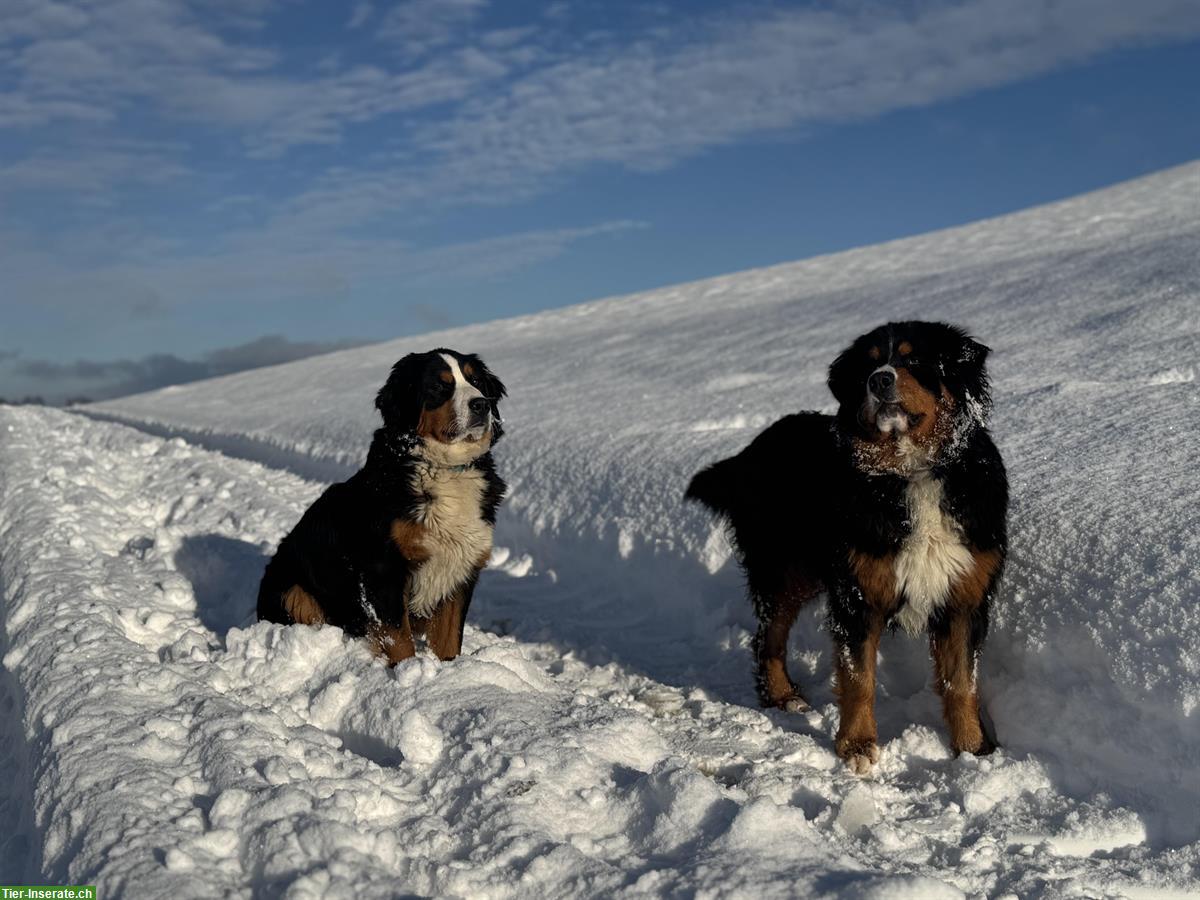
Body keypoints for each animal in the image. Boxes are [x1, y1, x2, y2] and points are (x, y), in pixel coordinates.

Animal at [258, 348, 506, 667]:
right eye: (440, 386)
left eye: (475, 381)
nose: (481, 405)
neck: (443, 468)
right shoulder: (383, 569)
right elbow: (398, 639)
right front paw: (407, 672)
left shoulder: (461, 568)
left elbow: (450, 640)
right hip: (293, 590)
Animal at [686, 324, 1003, 777]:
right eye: (867, 365)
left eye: (913, 358)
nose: (880, 380)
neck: (912, 472)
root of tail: (751, 448)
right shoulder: (857, 594)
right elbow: (858, 678)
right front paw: (857, 745)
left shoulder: (964, 596)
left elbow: (961, 682)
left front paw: (973, 750)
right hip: (784, 572)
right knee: (768, 637)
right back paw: (782, 696)